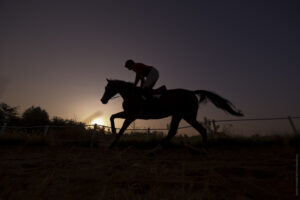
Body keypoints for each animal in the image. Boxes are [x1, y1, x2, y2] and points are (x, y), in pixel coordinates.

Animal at [101, 79, 244, 150]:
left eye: (108, 88)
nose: (103, 100)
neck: (132, 95)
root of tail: (192, 92)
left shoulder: (131, 115)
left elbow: (121, 129)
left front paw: (111, 144)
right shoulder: (129, 114)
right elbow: (112, 116)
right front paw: (112, 132)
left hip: (183, 115)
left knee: (177, 131)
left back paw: (157, 148)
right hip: (183, 115)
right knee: (195, 130)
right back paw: (204, 148)